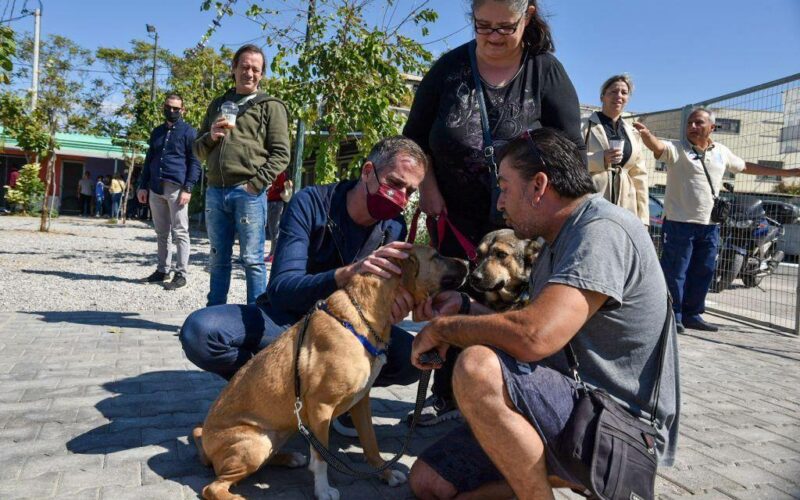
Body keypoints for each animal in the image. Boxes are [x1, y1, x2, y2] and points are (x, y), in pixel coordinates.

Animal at [195, 246, 468, 500]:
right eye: (436, 256)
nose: (468, 262)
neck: (362, 319)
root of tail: (204, 443)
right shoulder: (321, 407)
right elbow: (322, 458)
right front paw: (323, 489)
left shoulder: (361, 402)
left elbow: (371, 444)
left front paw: (386, 473)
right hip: (255, 444)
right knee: (213, 487)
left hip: (273, 437)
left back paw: (290, 457)